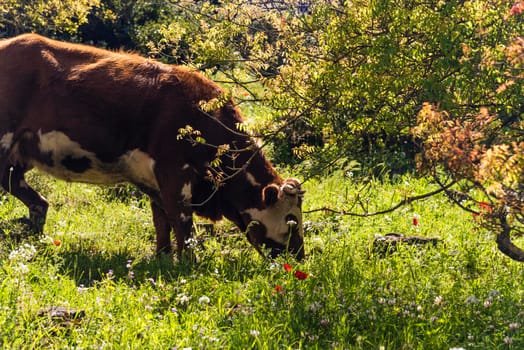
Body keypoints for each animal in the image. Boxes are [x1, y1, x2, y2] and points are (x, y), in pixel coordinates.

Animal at [0, 34, 308, 260]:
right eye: (291, 220)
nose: (300, 258)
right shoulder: (173, 171)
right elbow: (182, 222)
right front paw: (189, 262)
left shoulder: (153, 178)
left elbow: (162, 219)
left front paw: (162, 256)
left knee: (22, 189)